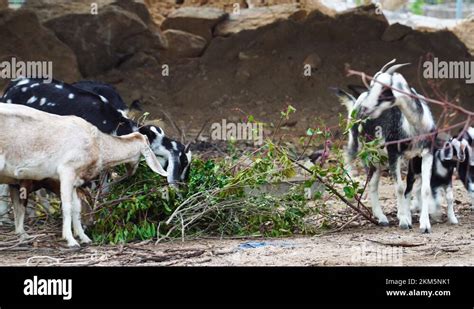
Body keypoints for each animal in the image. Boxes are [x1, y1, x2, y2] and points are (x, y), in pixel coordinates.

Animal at [0, 103, 168, 245]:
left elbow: (77, 207)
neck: (98, 144)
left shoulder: (76, 180)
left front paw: (84, 238)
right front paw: (71, 240)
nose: (129, 173)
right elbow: (67, 206)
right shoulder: (66, 171)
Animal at [336, 58, 436, 231]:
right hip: (360, 147)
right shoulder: (394, 153)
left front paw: (424, 225)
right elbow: (400, 187)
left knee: (373, 184)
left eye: (385, 89)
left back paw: (382, 218)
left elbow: (424, 188)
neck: (414, 128)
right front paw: (404, 221)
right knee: (351, 159)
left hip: (379, 158)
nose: (365, 108)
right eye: (372, 85)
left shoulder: (425, 153)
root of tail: (355, 102)